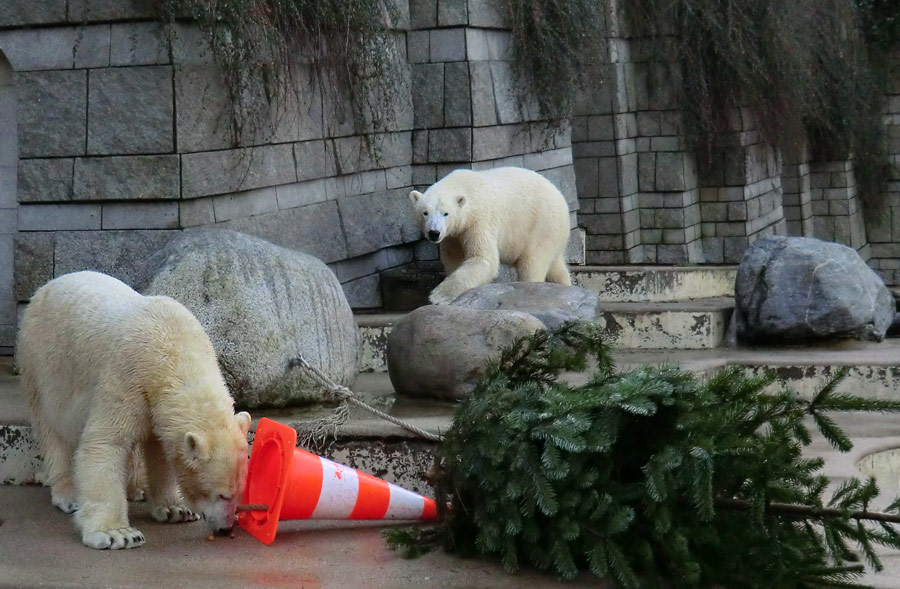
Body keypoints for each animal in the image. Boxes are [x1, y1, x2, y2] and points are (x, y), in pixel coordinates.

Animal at [18, 272, 250, 548]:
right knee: (52, 428)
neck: (172, 347)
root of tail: (46, 286)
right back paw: (69, 494)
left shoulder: (155, 400)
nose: (226, 528)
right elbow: (106, 442)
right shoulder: (127, 375)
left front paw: (175, 509)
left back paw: (136, 489)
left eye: (239, 492)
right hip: (42, 361)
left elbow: (161, 449)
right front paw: (117, 534)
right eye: (222, 495)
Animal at [412, 165, 572, 304]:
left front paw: (438, 296)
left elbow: (483, 259)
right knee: (557, 266)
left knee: (532, 263)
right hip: (553, 233)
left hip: (540, 225)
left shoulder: (479, 222)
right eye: (425, 213)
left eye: (446, 213)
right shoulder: (452, 235)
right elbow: (454, 258)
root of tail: (562, 201)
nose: (434, 233)